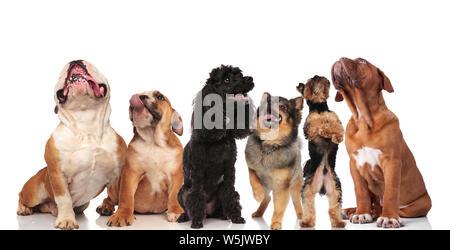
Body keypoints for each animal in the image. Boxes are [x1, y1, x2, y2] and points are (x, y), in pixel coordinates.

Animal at [17, 60, 126, 229]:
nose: (75, 60)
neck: (86, 124)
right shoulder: (57, 173)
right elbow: (64, 199)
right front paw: (67, 220)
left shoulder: (117, 175)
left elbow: (117, 194)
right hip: (34, 192)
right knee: (21, 196)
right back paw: (23, 209)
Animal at [97, 90, 185, 227]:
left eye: (160, 97)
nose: (140, 96)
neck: (153, 141)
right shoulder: (130, 173)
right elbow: (126, 196)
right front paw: (122, 214)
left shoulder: (175, 175)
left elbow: (175, 194)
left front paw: (176, 211)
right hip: (116, 184)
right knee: (110, 198)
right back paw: (105, 207)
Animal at [244, 93, 304, 229]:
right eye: (267, 102)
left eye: (282, 107)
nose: (270, 105)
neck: (269, 146)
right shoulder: (251, 167)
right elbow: (253, 179)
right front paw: (258, 194)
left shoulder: (282, 185)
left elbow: (279, 207)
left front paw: (276, 222)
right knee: (267, 198)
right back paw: (259, 211)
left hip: (295, 185)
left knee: (296, 200)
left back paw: (301, 215)